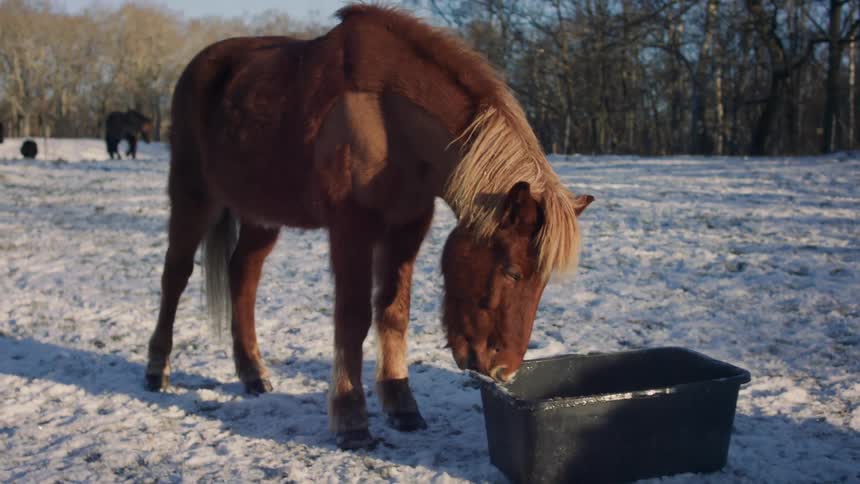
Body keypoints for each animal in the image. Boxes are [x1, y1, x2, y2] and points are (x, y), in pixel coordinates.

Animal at [144, 4, 593, 450]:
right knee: (175, 275)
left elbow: (393, 312)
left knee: (243, 275)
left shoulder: (407, 227)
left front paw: (401, 403)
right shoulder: (351, 230)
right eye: (512, 271)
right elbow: (352, 318)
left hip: (261, 215)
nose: (503, 370)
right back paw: (156, 370)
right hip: (193, 196)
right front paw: (350, 418)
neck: (388, 120)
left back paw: (253, 372)